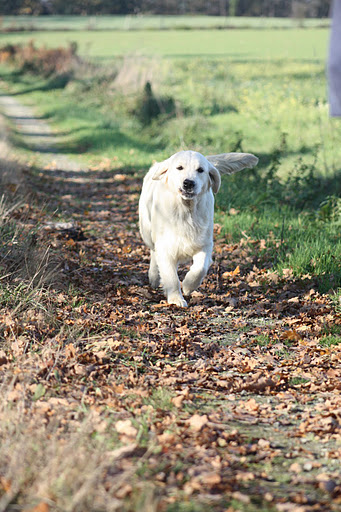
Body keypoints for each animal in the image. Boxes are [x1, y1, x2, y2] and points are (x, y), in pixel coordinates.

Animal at [138, 150, 258, 306]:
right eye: (179, 168)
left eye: (200, 170)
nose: (188, 183)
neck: (186, 210)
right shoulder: (165, 247)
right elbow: (171, 276)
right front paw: (176, 298)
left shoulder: (204, 244)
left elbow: (200, 268)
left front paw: (188, 286)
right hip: (147, 231)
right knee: (153, 252)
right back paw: (154, 277)